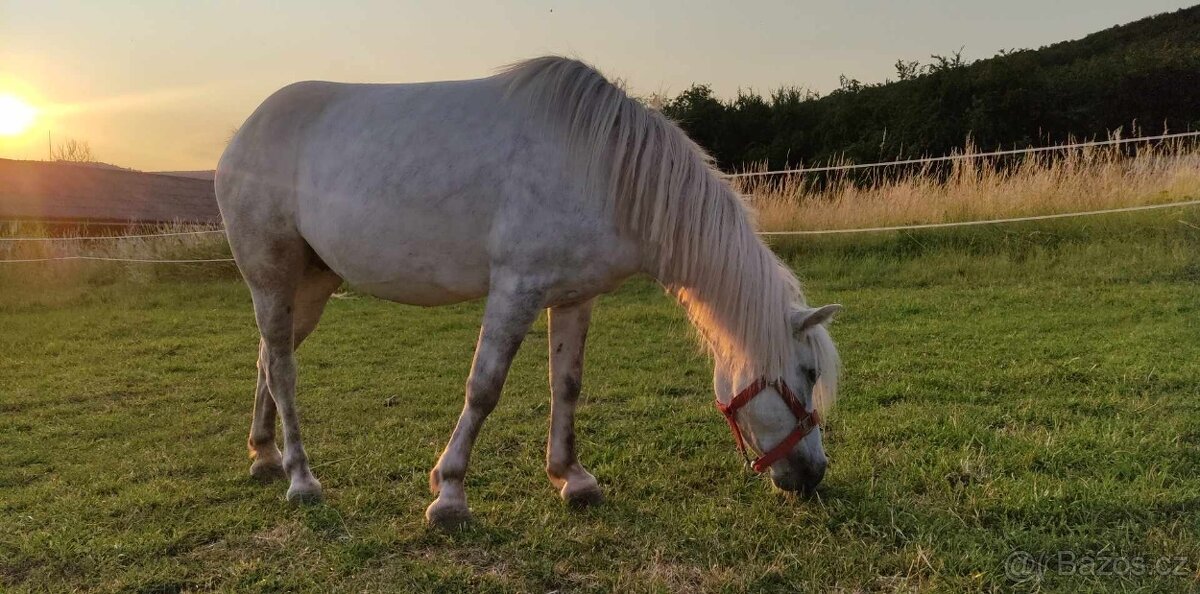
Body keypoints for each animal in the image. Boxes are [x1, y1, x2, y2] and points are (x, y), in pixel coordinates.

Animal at [215, 56, 842, 527]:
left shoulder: (573, 297)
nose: (813, 475)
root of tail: (241, 135)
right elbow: (483, 389)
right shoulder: (515, 290)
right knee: (284, 370)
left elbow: (567, 385)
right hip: (271, 278)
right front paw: (449, 494)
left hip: (310, 286)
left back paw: (265, 456)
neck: (603, 168)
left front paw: (572, 478)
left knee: (268, 358)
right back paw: (301, 479)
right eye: (808, 373)